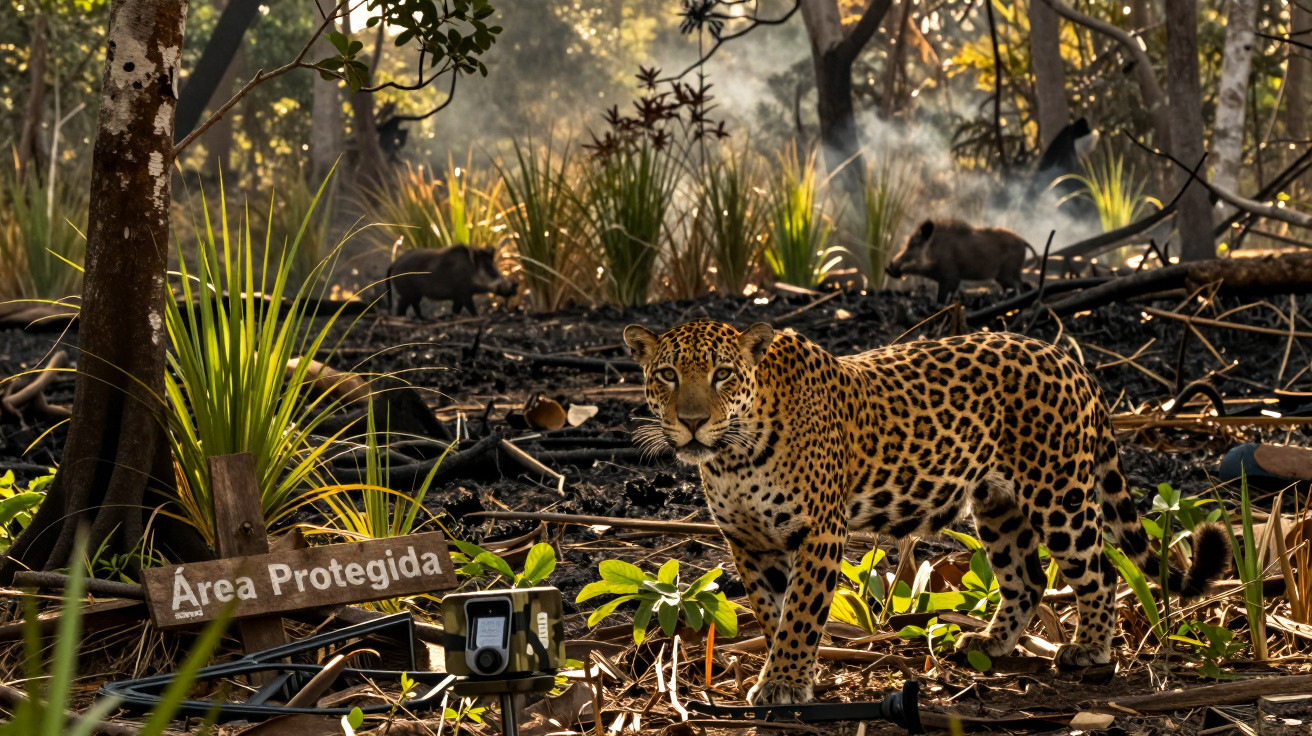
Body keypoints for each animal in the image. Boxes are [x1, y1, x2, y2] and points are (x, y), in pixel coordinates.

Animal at [387, 244, 517, 318]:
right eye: (490, 270)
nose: (515, 287)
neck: (470, 273)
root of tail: (394, 263)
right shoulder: (464, 294)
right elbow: (471, 308)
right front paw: (478, 317)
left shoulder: (458, 297)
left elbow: (456, 310)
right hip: (406, 293)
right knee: (401, 308)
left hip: (416, 294)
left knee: (415, 305)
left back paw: (423, 318)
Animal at [623, 319, 1229, 706]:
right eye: (667, 375)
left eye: (723, 374)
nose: (693, 422)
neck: (732, 457)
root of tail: (1070, 362)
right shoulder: (748, 541)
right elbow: (773, 612)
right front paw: (791, 671)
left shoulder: (818, 533)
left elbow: (800, 612)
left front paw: (785, 681)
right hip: (998, 505)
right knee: (1028, 578)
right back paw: (989, 643)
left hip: (1060, 494)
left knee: (1098, 571)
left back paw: (1089, 649)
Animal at [885, 219, 1032, 303]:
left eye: (913, 244)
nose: (888, 267)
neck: (934, 252)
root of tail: (1023, 241)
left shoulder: (950, 277)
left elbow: (941, 298)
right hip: (1004, 277)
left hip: (1008, 273)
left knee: (1020, 286)